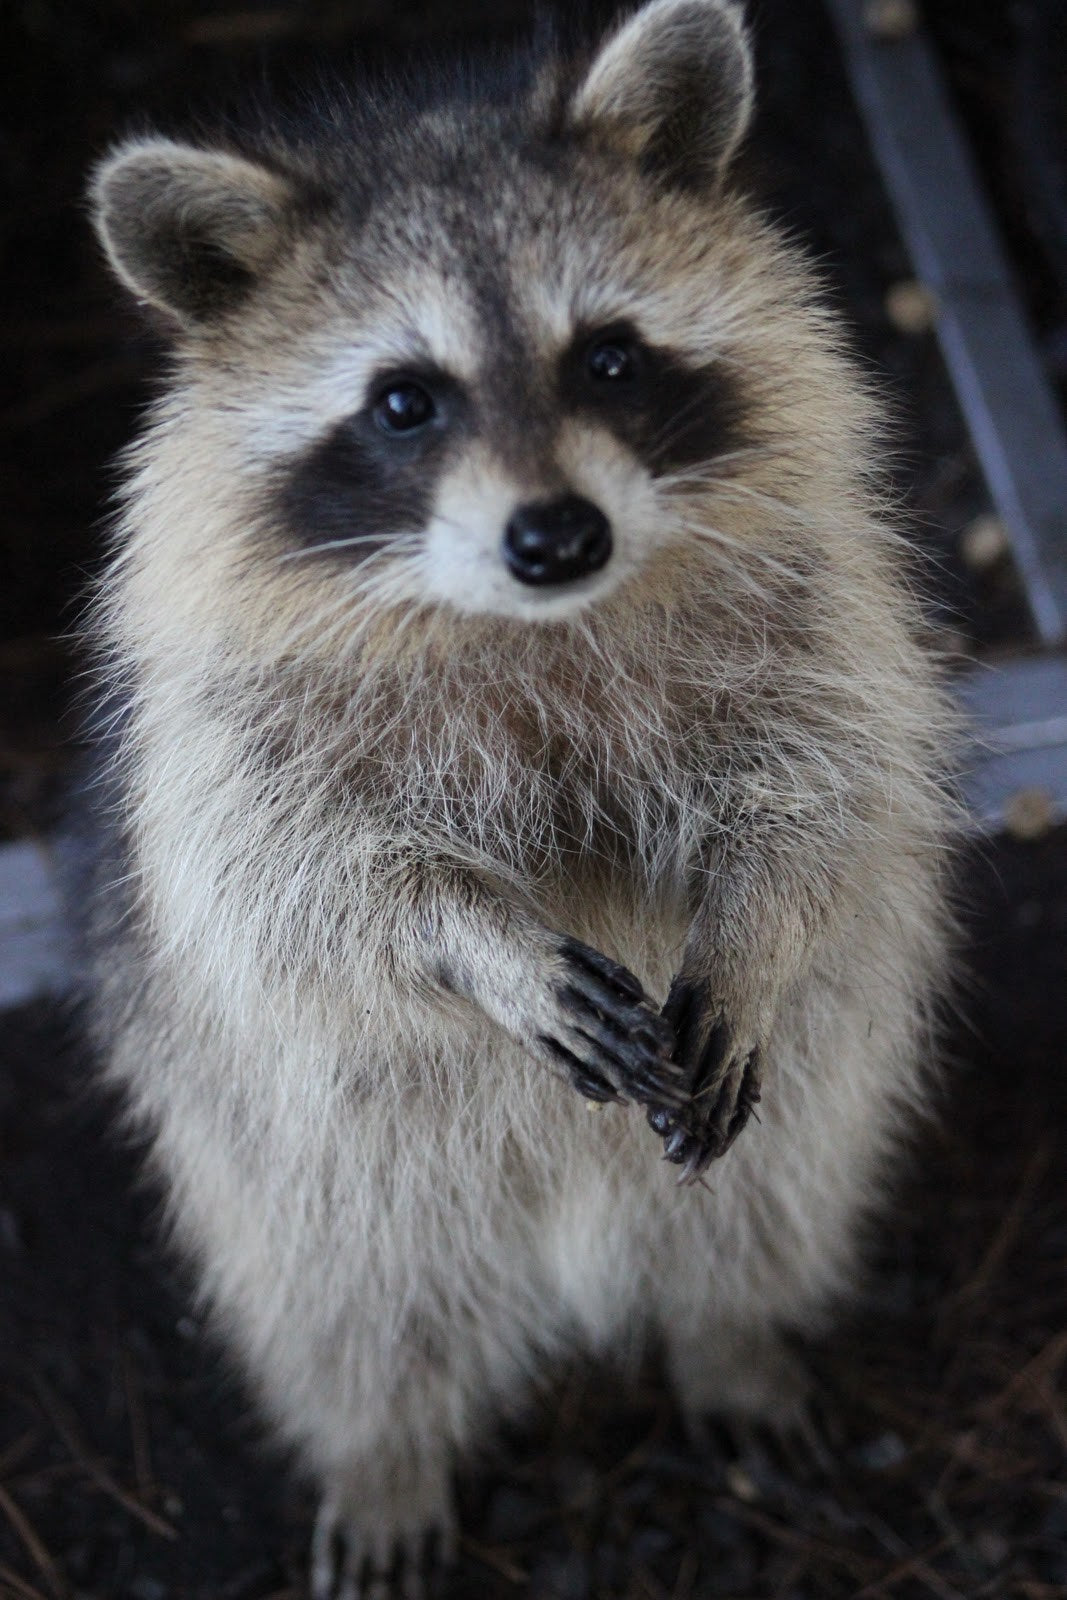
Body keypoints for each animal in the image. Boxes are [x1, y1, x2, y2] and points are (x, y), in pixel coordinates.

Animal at [81, 6, 953, 1593]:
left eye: (607, 357)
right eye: (402, 400)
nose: (556, 536)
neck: (530, 616)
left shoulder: (819, 610)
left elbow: (822, 785)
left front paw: (754, 921)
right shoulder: (226, 736)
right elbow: (297, 886)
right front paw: (473, 938)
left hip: (819, 1087)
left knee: (775, 1196)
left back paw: (725, 1333)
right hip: (288, 1157)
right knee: (347, 1302)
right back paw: (384, 1450)